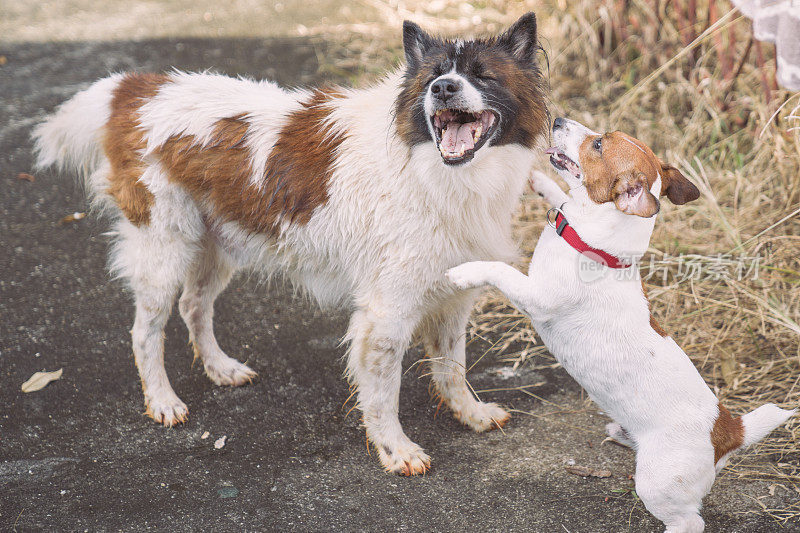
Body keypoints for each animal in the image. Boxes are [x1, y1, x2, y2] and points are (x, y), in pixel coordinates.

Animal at [32, 12, 552, 472]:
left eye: (483, 76)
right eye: (433, 77)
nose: (442, 89)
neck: (433, 171)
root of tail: (137, 90)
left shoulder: (453, 296)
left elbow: (452, 368)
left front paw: (470, 414)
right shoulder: (387, 310)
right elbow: (383, 392)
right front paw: (395, 450)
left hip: (215, 246)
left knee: (194, 306)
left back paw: (220, 368)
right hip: (166, 249)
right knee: (145, 331)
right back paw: (162, 400)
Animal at [446, 118, 796, 528]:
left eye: (598, 145)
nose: (558, 120)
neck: (594, 247)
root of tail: (728, 430)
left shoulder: (537, 298)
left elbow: (498, 269)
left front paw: (465, 272)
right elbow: (561, 194)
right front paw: (540, 181)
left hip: (658, 484)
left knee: (689, 521)